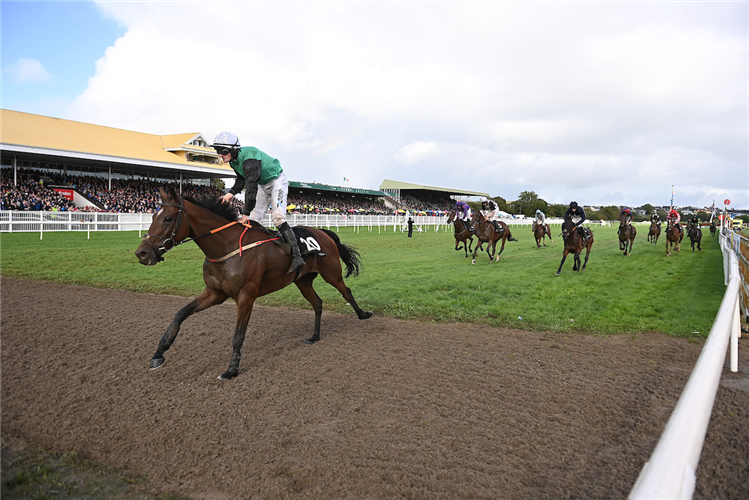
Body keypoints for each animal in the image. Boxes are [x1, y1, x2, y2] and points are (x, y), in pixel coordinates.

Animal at [135, 187, 374, 378]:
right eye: (153, 216)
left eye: (167, 218)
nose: (142, 253)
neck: (227, 247)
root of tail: (323, 232)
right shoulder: (214, 293)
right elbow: (180, 314)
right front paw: (158, 353)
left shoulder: (246, 296)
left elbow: (238, 335)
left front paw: (231, 370)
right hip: (303, 281)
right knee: (318, 303)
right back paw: (314, 336)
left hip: (331, 273)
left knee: (346, 291)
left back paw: (363, 314)